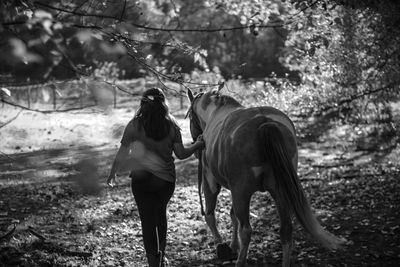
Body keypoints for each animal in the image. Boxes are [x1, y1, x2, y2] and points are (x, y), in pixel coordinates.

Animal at [186, 89, 346, 267]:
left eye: (190, 117)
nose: (196, 146)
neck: (214, 113)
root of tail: (265, 122)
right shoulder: (235, 189)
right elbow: (233, 216)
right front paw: (233, 246)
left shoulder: (213, 182)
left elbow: (210, 215)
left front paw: (222, 246)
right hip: (279, 192)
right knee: (286, 230)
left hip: (242, 193)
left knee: (246, 230)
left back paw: (240, 261)